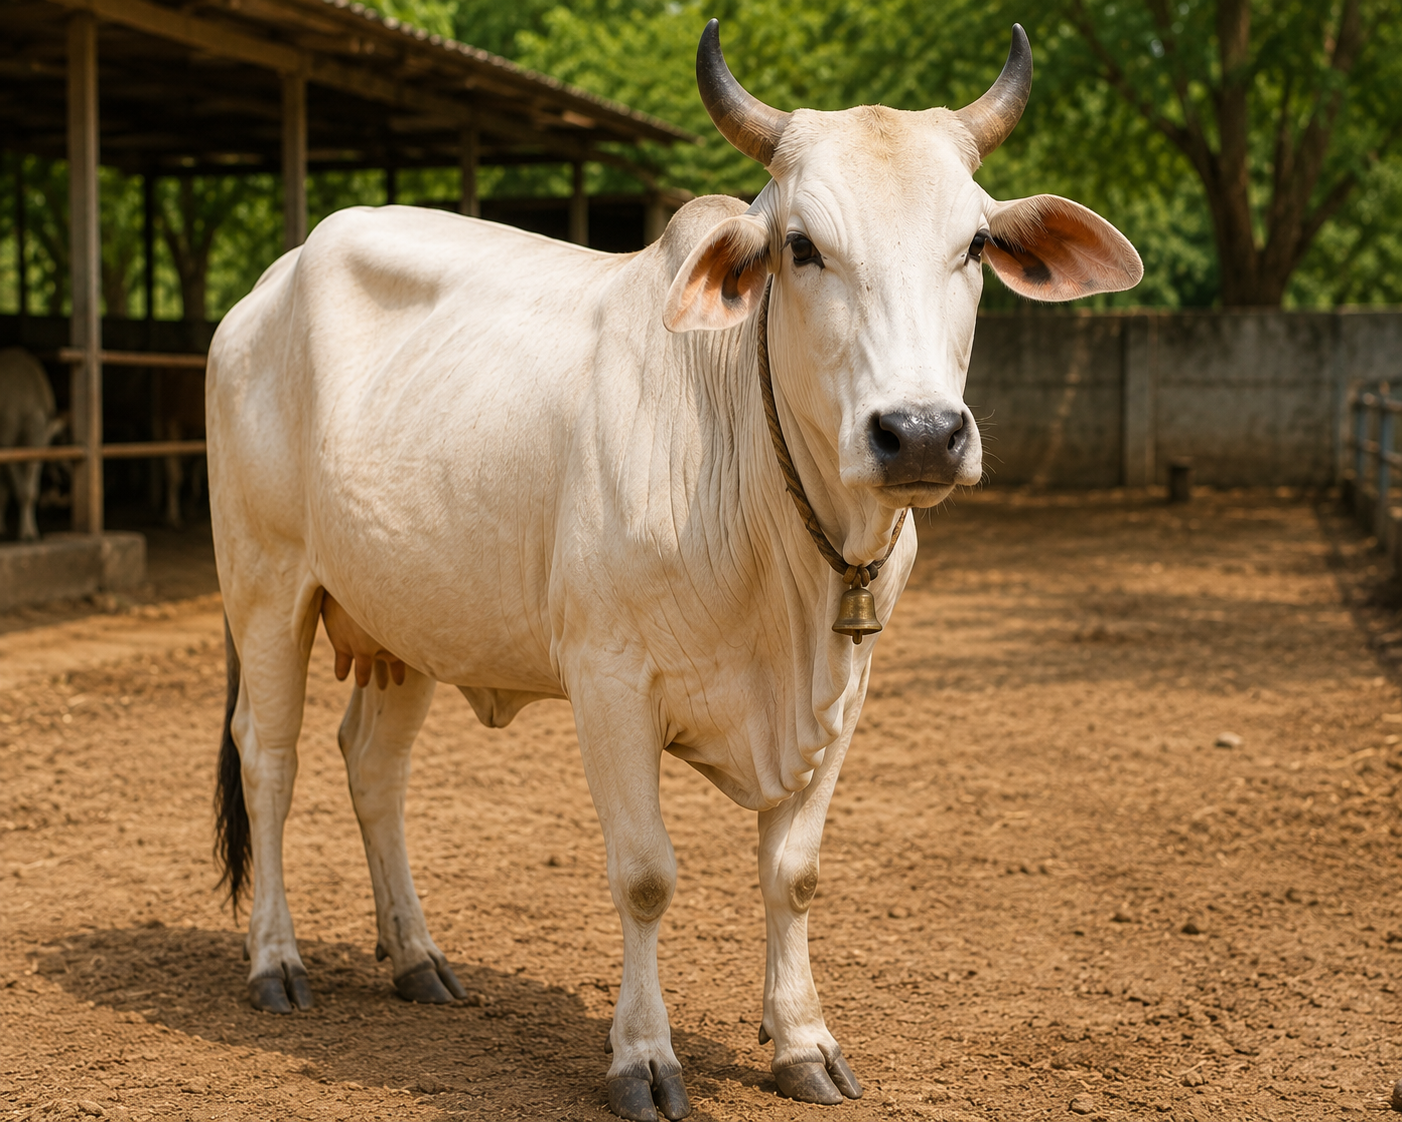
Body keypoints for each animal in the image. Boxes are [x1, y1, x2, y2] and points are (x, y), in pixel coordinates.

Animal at [0, 347, 64, 542]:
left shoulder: (37, 444)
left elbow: (28, 489)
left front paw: (30, 534)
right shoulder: (7, 442)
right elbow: (19, 488)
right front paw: (26, 535)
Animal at [209, 22, 1141, 1121]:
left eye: (976, 245)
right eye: (801, 246)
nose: (919, 433)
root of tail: (267, 288)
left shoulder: (847, 688)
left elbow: (794, 872)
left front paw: (803, 1041)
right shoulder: (608, 680)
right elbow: (646, 876)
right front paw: (643, 1058)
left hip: (407, 620)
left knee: (371, 767)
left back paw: (417, 958)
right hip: (268, 587)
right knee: (271, 760)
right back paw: (276, 962)